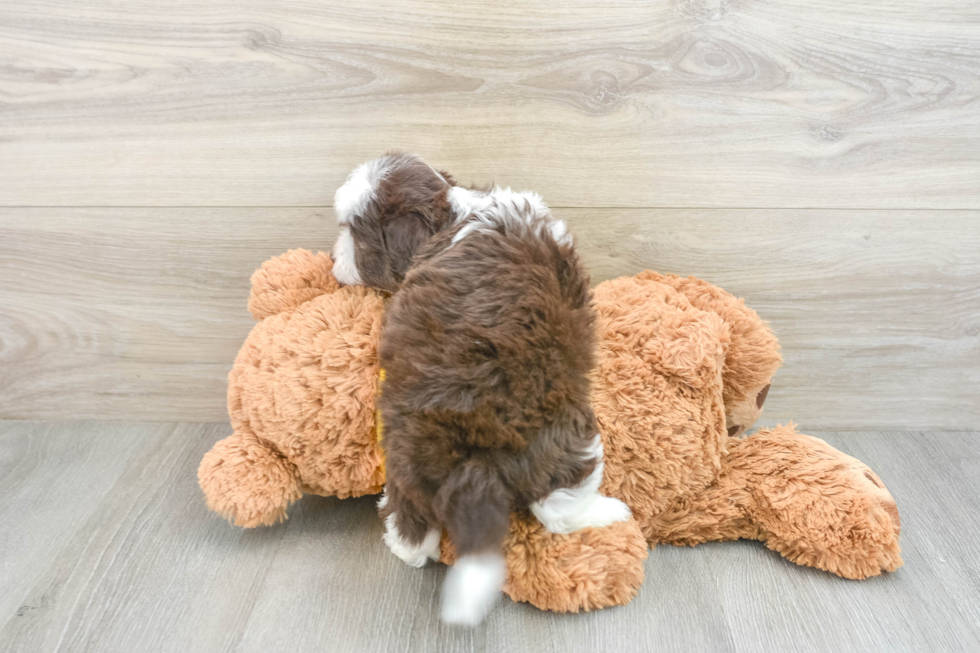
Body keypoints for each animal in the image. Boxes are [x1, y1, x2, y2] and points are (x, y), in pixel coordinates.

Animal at [334, 154, 632, 628]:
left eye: (353, 234)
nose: (333, 257)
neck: (454, 214)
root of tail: (477, 453)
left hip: (407, 455)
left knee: (416, 516)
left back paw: (404, 546)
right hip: (575, 434)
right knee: (560, 506)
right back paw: (608, 512)